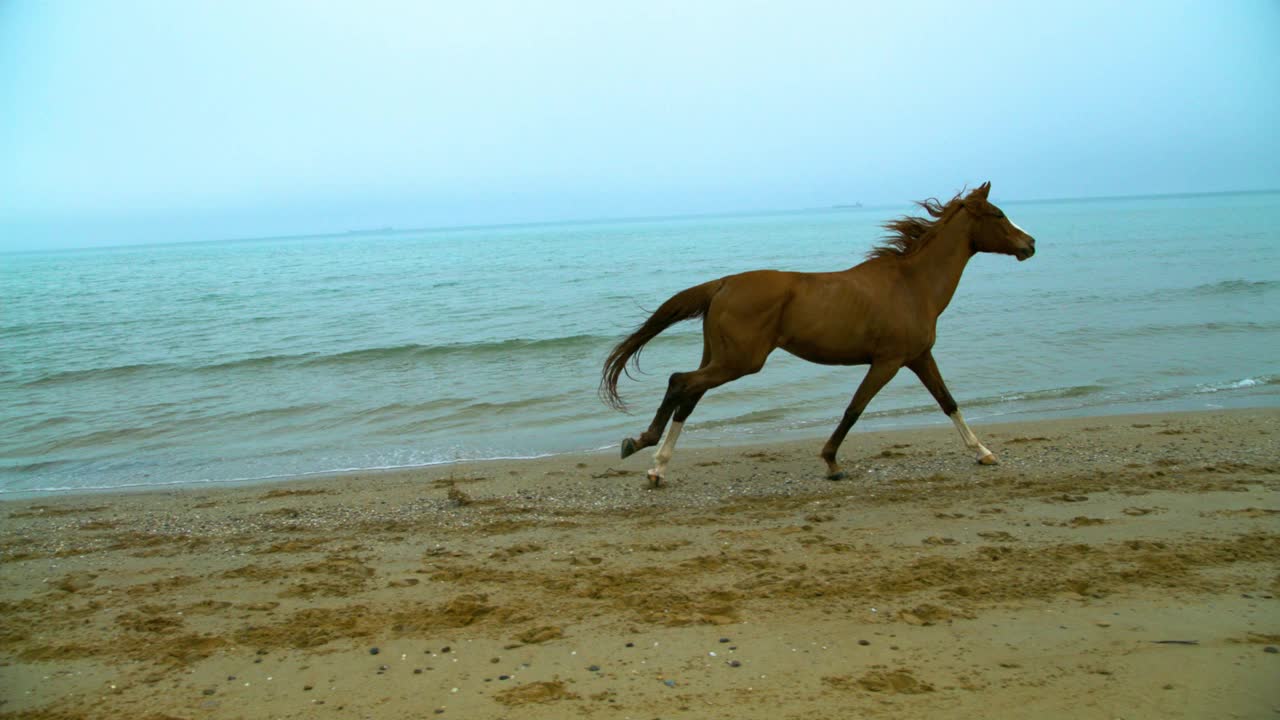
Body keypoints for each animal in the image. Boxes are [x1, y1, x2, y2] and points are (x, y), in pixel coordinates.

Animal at [601, 179, 1039, 484]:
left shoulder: (918, 357)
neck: (912, 285)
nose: (1030, 244)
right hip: (740, 361)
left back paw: (657, 467)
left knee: (688, 396)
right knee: (680, 383)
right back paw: (641, 447)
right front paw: (831, 462)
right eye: (999, 215)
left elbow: (948, 402)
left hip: (721, 357)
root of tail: (722, 284)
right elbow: (855, 408)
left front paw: (983, 452)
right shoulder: (889, 361)